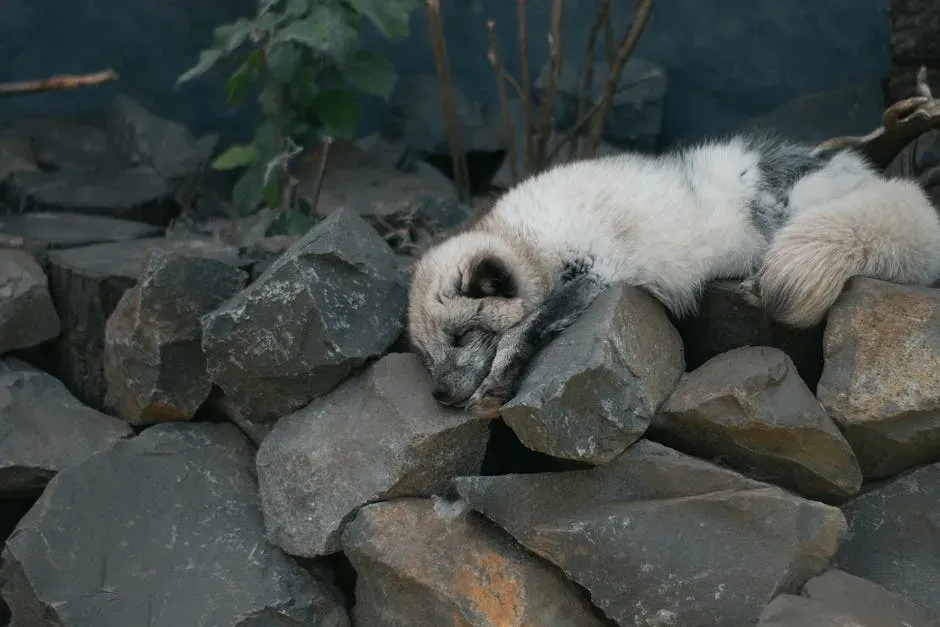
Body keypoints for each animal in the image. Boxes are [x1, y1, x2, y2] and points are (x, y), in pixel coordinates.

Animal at [406, 132, 940, 419]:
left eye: (461, 337)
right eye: (427, 358)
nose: (438, 394)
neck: (529, 238)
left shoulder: (594, 272)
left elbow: (524, 329)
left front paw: (496, 382)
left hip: (799, 210)